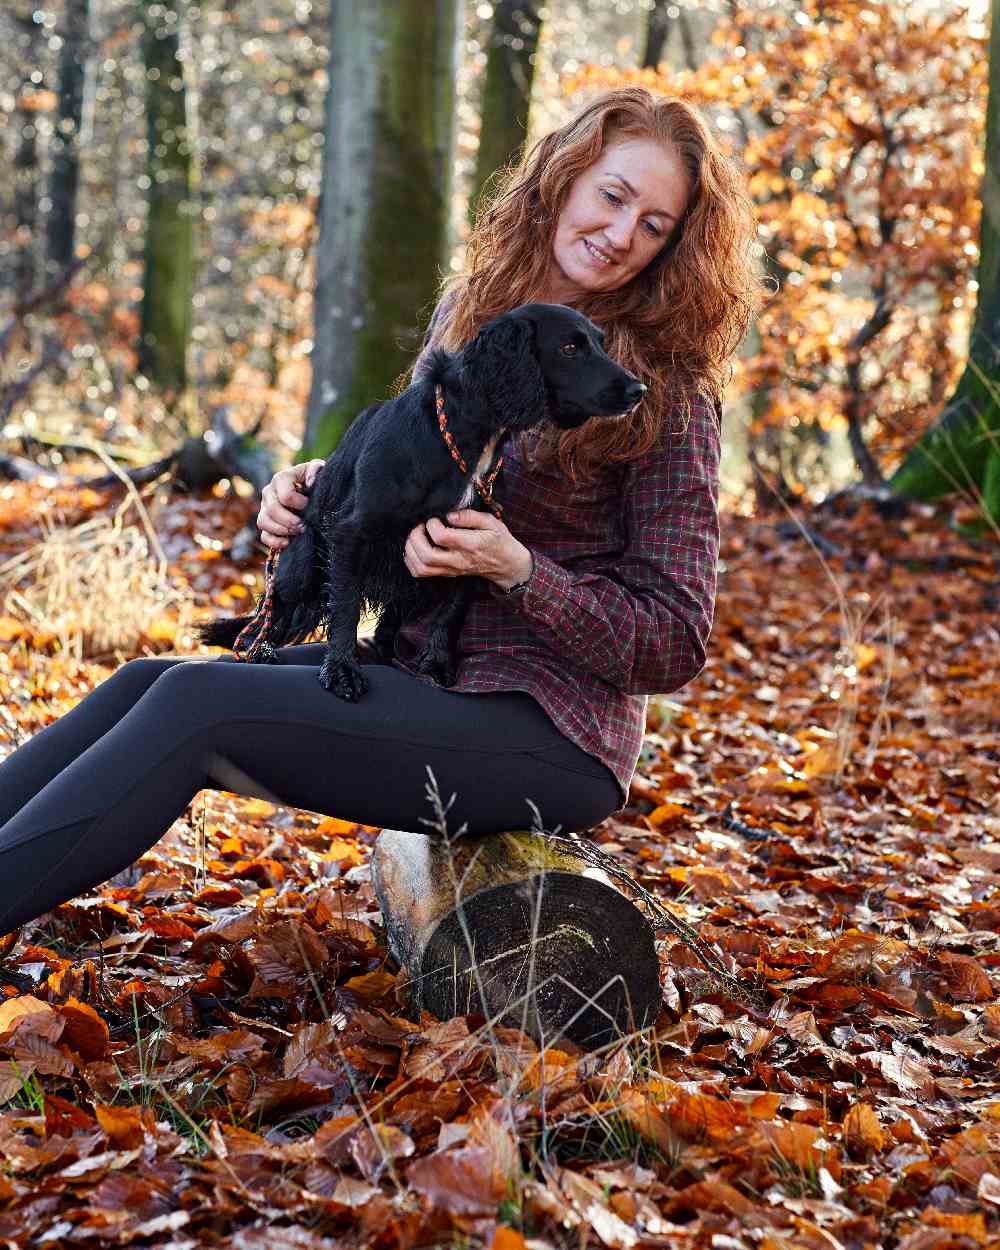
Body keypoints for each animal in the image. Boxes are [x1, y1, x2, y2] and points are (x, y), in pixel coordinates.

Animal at [198, 298, 645, 700]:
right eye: (569, 348)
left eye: (601, 343)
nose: (639, 389)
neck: (464, 436)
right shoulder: (350, 532)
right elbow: (344, 607)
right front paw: (342, 669)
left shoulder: (471, 543)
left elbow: (452, 612)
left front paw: (437, 665)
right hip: (303, 562)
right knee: (269, 616)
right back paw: (258, 653)